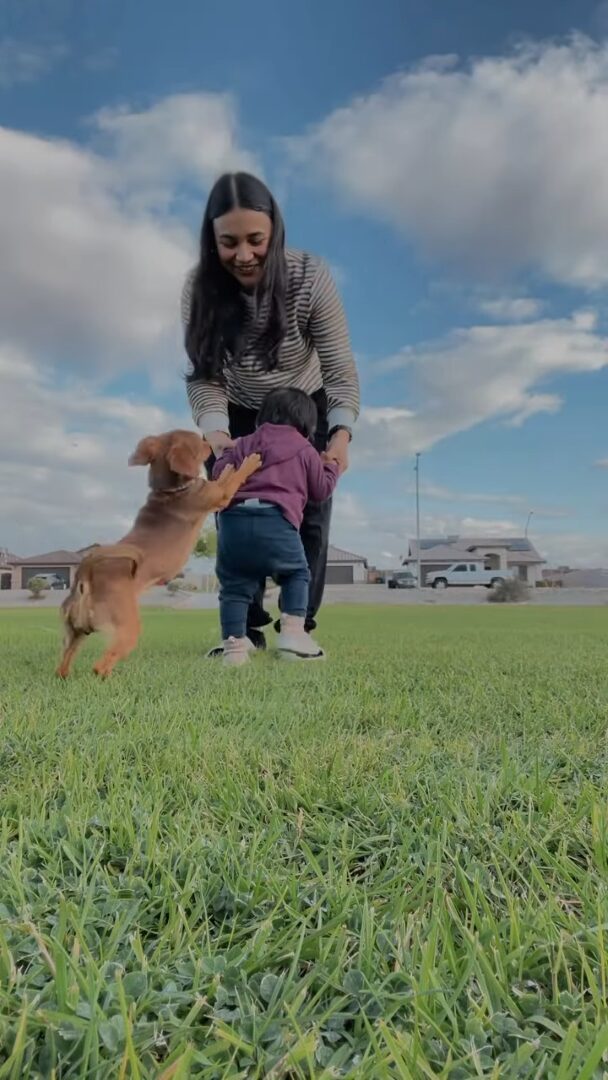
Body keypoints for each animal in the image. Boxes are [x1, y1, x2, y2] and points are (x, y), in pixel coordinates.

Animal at [53, 427, 259, 673]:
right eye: (198, 442)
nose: (210, 443)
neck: (171, 490)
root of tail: (86, 573)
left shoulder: (215, 489)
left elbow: (225, 477)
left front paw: (229, 467)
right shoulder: (220, 495)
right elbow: (234, 478)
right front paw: (250, 461)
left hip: (74, 633)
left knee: (64, 662)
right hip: (127, 630)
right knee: (100, 666)